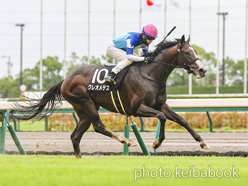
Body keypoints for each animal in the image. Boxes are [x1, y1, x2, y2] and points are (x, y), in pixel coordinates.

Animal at [15, 35, 209, 158]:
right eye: (187, 53)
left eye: (195, 51)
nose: (202, 70)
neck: (151, 74)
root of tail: (66, 79)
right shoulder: (137, 108)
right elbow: (162, 117)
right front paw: (156, 143)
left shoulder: (160, 104)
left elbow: (181, 120)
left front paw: (202, 142)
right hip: (85, 102)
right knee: (98, 126)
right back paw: (126, 140)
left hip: (83, 110)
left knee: (75, 136)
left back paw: (79, 159)